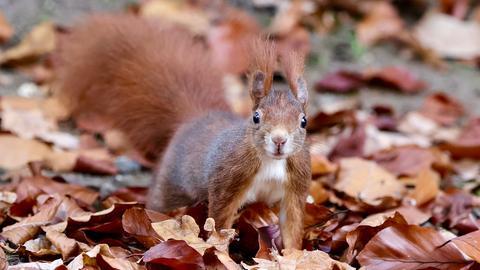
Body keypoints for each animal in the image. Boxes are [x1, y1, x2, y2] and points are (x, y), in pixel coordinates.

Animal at [55, 14, 312, 249]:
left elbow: (291, 224)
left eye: (304, 121)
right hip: (170, 186)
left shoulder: (296, 185)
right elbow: (220, 224)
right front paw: (221, 254)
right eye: (256, 117)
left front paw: (292, 256)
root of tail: (192, 119)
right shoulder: (227, 180)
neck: (271, 163)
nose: (279, 140)